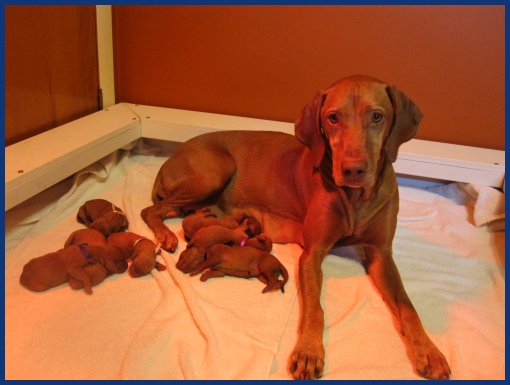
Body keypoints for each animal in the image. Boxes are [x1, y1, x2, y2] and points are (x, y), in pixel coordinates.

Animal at [141, 75, 452, 378]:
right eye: (333, 118)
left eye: (377, 116)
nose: (352, 170)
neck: (355, 198)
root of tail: (174, 154)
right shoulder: (312, 254)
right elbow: (315, 308)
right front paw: (309, 351)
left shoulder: (381, 254)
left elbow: (407, 306)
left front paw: (429, 351)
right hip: (214, 171)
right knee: (150, 209)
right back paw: (166, 235)